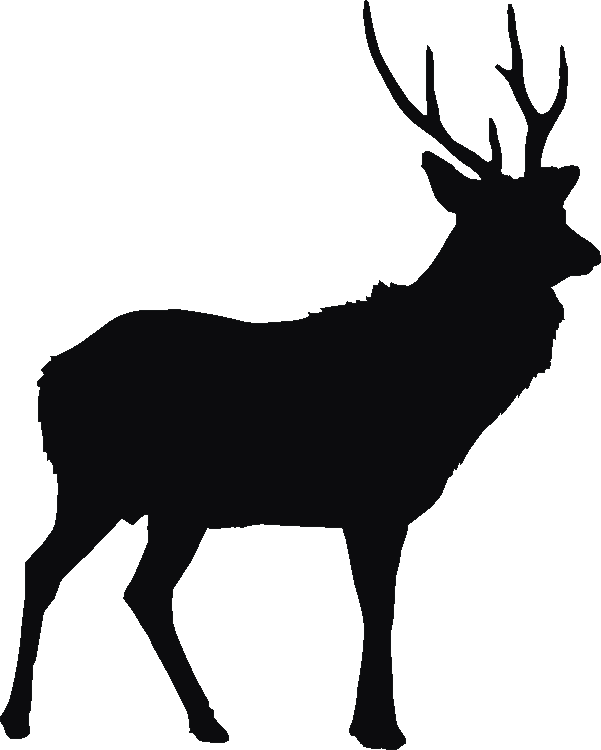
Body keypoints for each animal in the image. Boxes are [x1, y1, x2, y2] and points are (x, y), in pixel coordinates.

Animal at [1, 2, 598, 748]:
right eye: (500, 218)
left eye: (555, 208)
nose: (588, 253)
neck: (442, 388)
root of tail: (46, 376)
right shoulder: (373, 497)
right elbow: (379, 606)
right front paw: (380, 727)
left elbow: (377, 605)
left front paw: (370, 721)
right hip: (95, 481)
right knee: (45, 567)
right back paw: (20, 715)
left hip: (172, 504)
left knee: (141, 590)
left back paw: (208, 719)